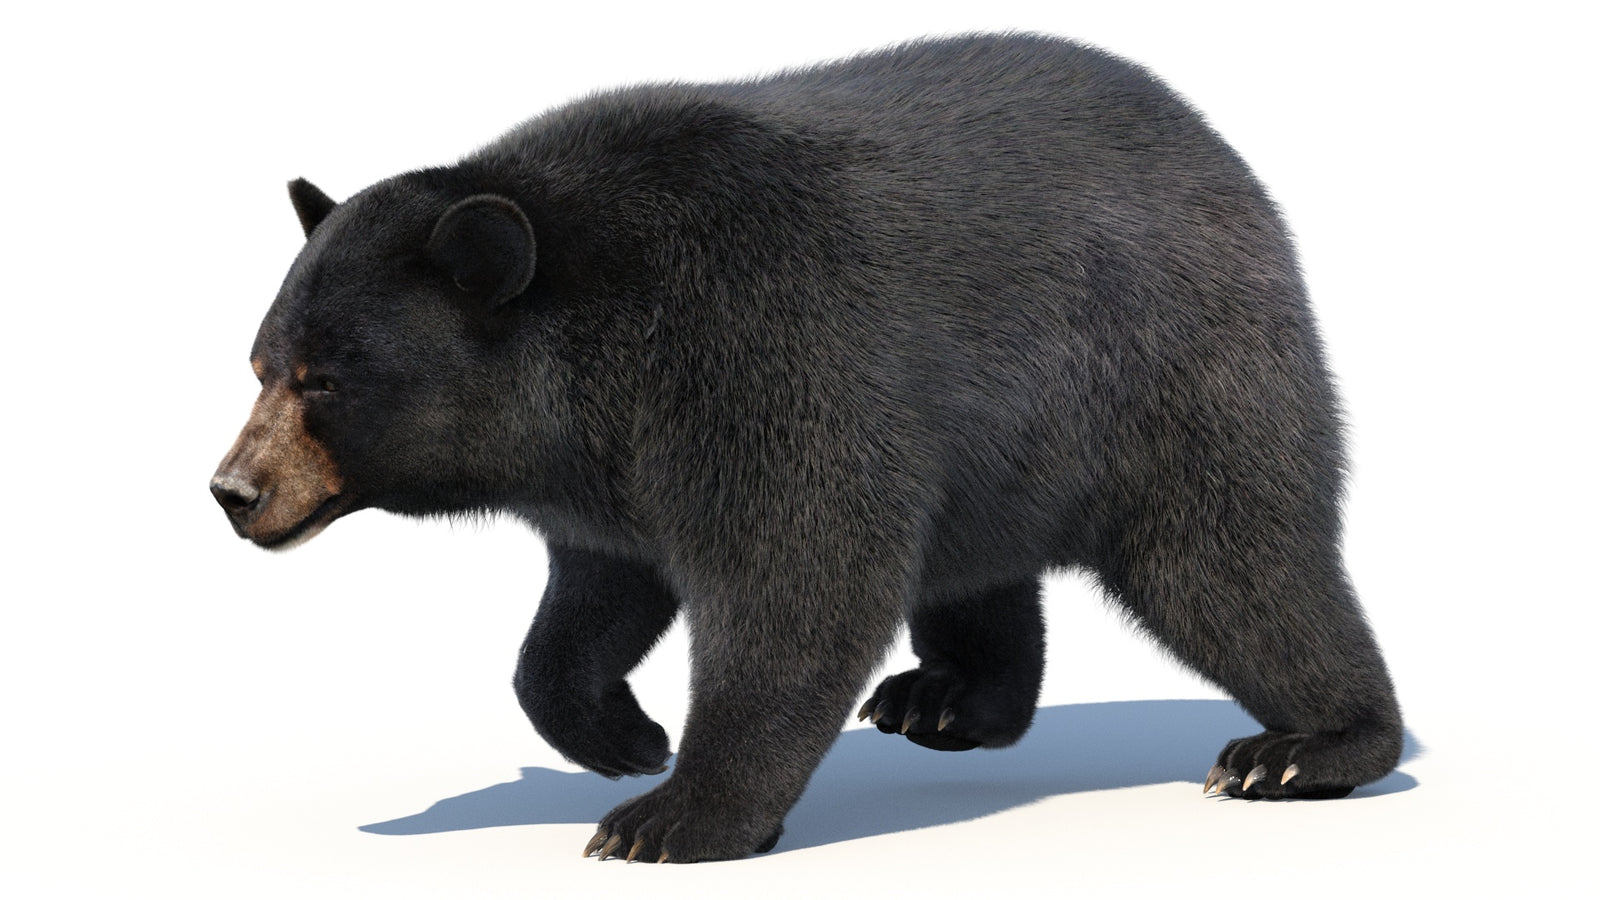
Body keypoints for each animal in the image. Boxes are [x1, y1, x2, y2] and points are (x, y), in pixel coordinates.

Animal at [210, 33, 1403, 863]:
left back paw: (1305, 747)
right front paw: (622, 735)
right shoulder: (608, 467)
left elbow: (800, 577)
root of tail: (1226, 162)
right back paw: (948, 700)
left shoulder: (758, 352)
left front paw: (670, 816)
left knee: (1234, 562)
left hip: (1171, 375)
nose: (234, 490)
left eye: (325, 378)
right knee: (982, 562)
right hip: (1004, 448)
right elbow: (593, 598)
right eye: (259, 361)